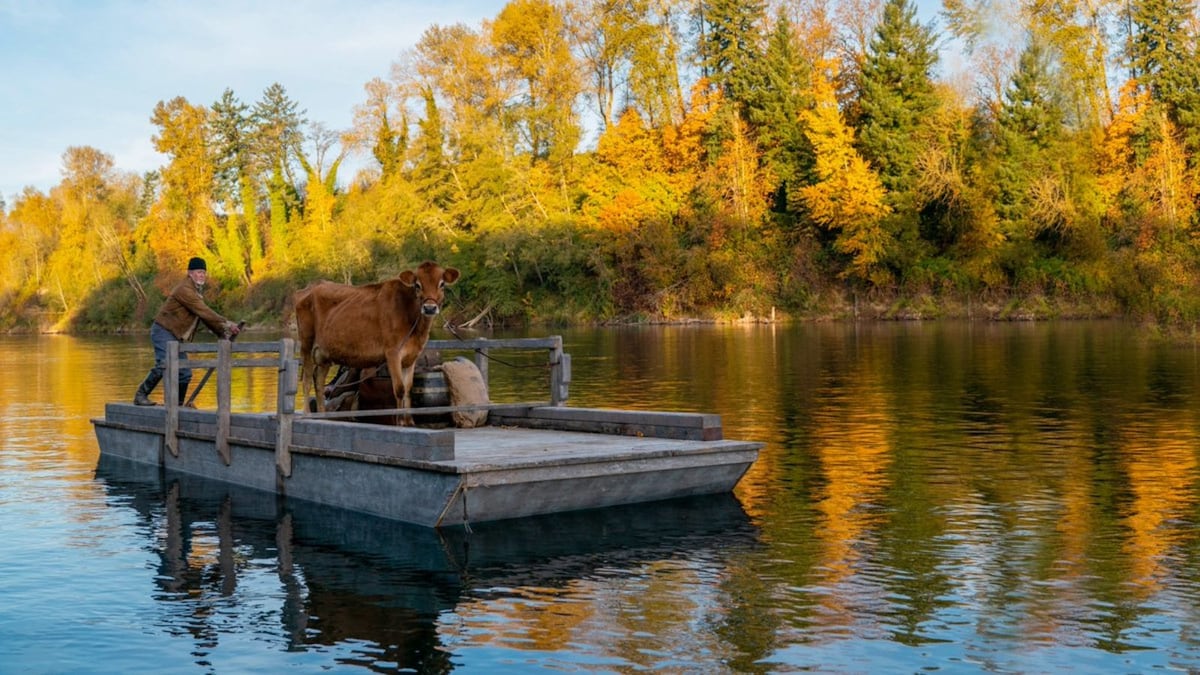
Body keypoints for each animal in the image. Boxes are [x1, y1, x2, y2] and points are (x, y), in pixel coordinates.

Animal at [292, 261, 460, 425]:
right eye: (417, 285)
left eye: (442, 284)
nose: (430, 308)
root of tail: (311, 286)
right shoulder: (393, 352)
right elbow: (399, 389)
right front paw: (400, 421)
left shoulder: (411, 356)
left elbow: (408, 389)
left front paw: (409, 421)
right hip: (306, 342)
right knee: (307, 377)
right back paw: (307, 414)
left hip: (325, 353)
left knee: (318, 379)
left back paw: (323, 415)